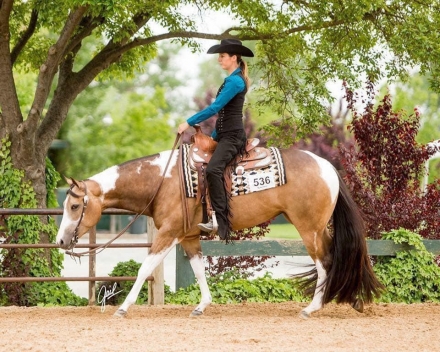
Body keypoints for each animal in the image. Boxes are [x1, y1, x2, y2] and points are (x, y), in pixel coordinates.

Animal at [56, 143, 384, 320]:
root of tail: (327, 167)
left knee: (326, 262)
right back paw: (353, 300)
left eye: (74, 205)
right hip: (316, 228)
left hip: (308, 229)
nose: (60, 241)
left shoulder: (168, 233)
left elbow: (144, 268)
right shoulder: (188, 236)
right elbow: (198, 269)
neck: (163, 181)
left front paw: (123, 308)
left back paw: (312, 307)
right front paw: (202, 306)